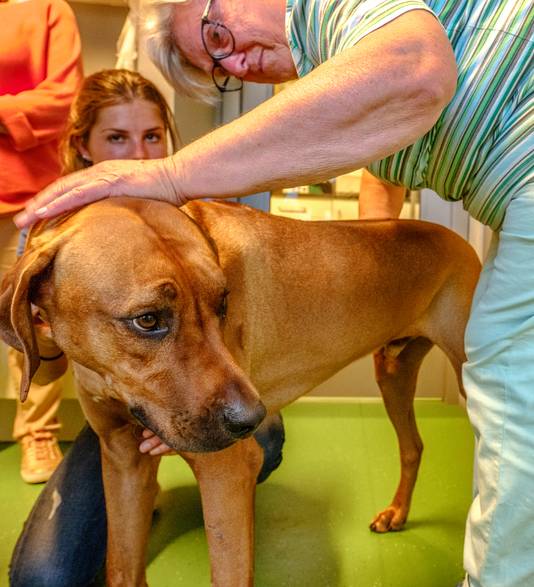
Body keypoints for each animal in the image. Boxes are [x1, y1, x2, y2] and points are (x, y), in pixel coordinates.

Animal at [0, 200, 482, 584]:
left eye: (223, 304)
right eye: (148, 319)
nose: (252, 419)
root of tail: (456, 237)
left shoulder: (227, 472)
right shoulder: (122, 460)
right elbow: (123, 567)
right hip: (393, 370)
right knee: (413, 446)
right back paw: (397, 513)